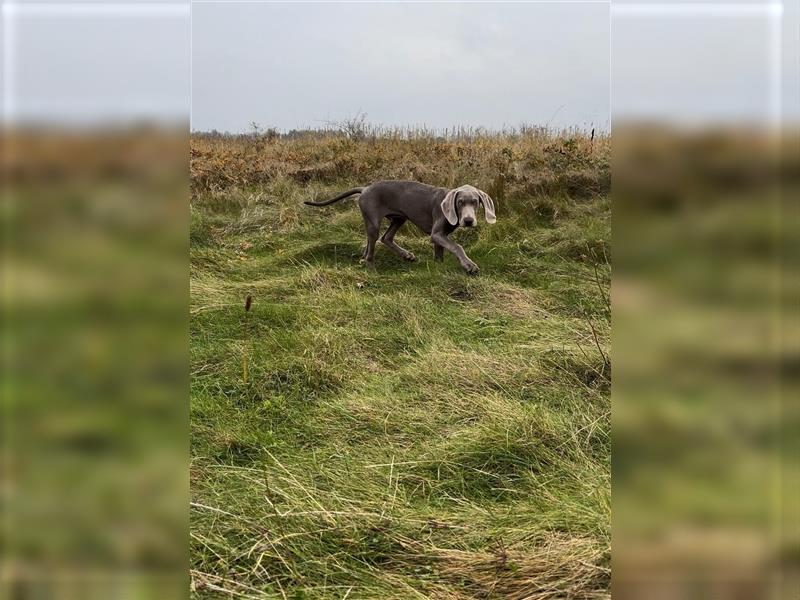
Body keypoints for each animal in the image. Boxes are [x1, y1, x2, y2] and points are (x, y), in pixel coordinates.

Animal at [304, 178, 494, 272]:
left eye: (475, 202)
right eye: (460, 202)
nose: (468, 221)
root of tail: (365, 189)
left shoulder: (440, 236)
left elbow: (440, 251)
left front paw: (438, 265)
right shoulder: (436, 234)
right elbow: (457, 247)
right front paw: (469, 265)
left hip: (398, 218)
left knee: (385, 238)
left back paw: (405, 255)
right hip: (373, 221)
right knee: (372, 246)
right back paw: (371, 267)